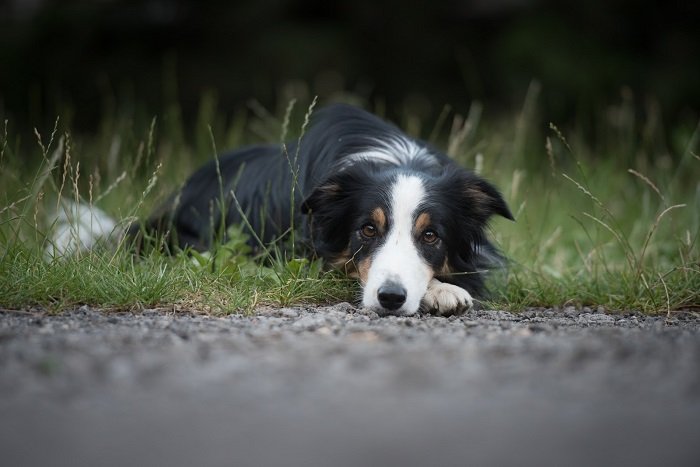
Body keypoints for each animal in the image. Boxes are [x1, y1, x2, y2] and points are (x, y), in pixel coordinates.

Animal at [127, 104, 516, 316]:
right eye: (368, 230)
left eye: (431, 235)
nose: (390, 299)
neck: (397, 158)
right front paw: (442, 290)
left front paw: (444, 289)